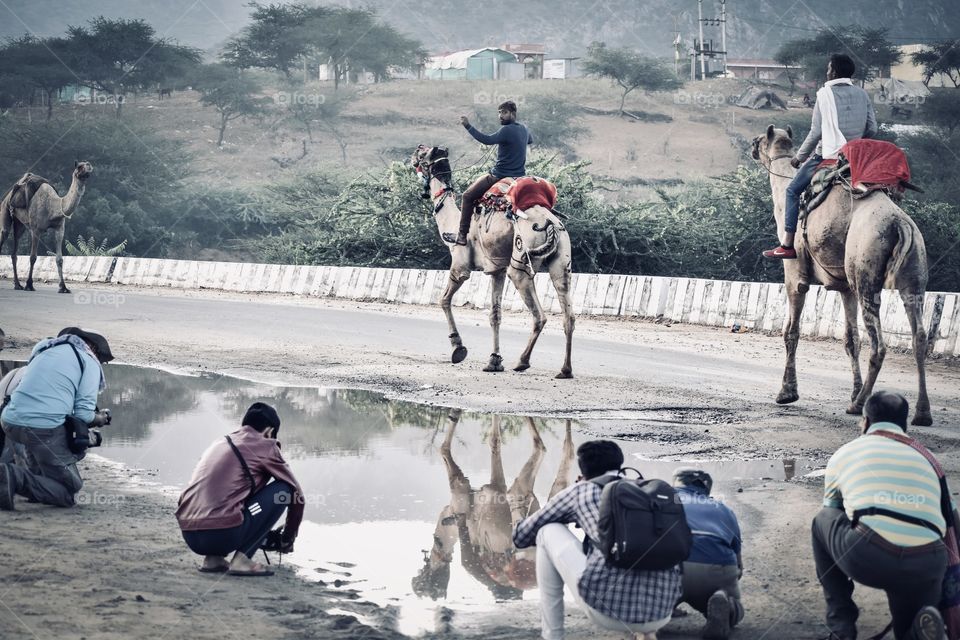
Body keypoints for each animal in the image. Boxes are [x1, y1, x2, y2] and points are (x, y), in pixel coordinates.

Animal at [0, 161, 93, 294]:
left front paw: (63, 287)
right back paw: (20, 284)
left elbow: (59, 259)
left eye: (87, 164)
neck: (54, 206)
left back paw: (17, 285)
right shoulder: (35, 229)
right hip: (5, 209)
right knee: (4, 232)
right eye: (79, 166)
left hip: (19, 224)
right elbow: (33, 257)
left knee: (15, 250)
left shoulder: (60, 229)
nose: (88, 166)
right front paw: (29, 285)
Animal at [408, 148, 572, 378]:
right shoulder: (497, 271)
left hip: (520, 262)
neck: (451, 224)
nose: (412, 158)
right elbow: (495, 315)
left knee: (539, 315)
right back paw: (565, 370)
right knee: (569, 315)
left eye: (421, 155)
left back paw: (522, 362)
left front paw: (458, 349)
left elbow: (443, 300)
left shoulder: (460, 266)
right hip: (562, 263)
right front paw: (494, 361)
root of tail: (552, 224)